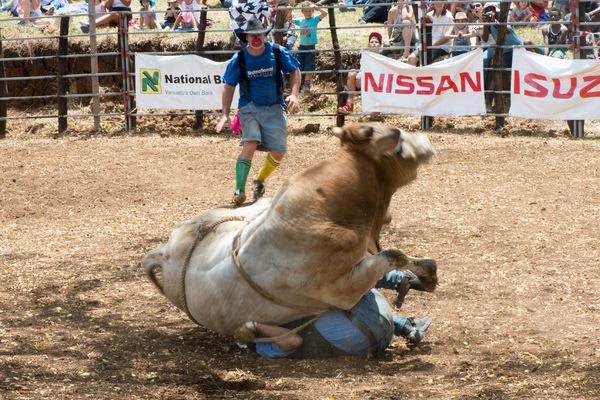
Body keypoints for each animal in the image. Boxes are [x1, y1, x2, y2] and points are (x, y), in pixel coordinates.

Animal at [143, 123, 438, 336]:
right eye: (399, 147)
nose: (426, 141)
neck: (323, 212)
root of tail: (162, 253)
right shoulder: (346, 290)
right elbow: (393, 255)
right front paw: (427, 272)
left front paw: (421, 275)